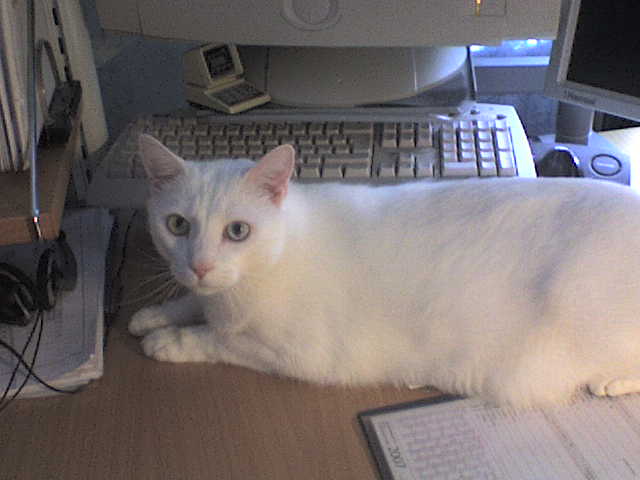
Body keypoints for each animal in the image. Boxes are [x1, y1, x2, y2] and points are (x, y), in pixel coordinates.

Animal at [130, 133, 640, 408]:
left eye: (237, 231)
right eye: (177, 225)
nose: (199, 264)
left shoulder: (296, 354)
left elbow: (218, 340)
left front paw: (168, 341)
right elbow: (189, 303)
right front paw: (152, 315)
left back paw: (610, 382)